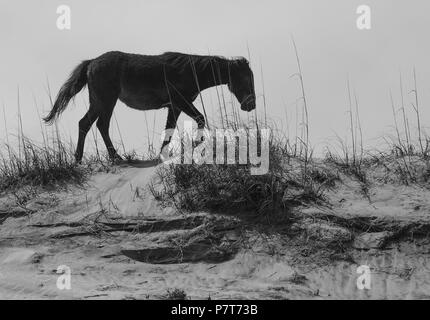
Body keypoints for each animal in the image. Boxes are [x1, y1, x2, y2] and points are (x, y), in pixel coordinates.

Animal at [42, 52, 255, 164]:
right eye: (245, 78)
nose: (250, 105)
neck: (191, 71)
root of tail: (91, 63)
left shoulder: (174, 106)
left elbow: (169, 129)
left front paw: (163, 154)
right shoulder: (180, 102)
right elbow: (200, 118)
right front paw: (196, 142)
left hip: (97, 102)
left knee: (84, 124)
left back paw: (78, 159)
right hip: (106, 101)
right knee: (102, 125)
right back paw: (116, 156)